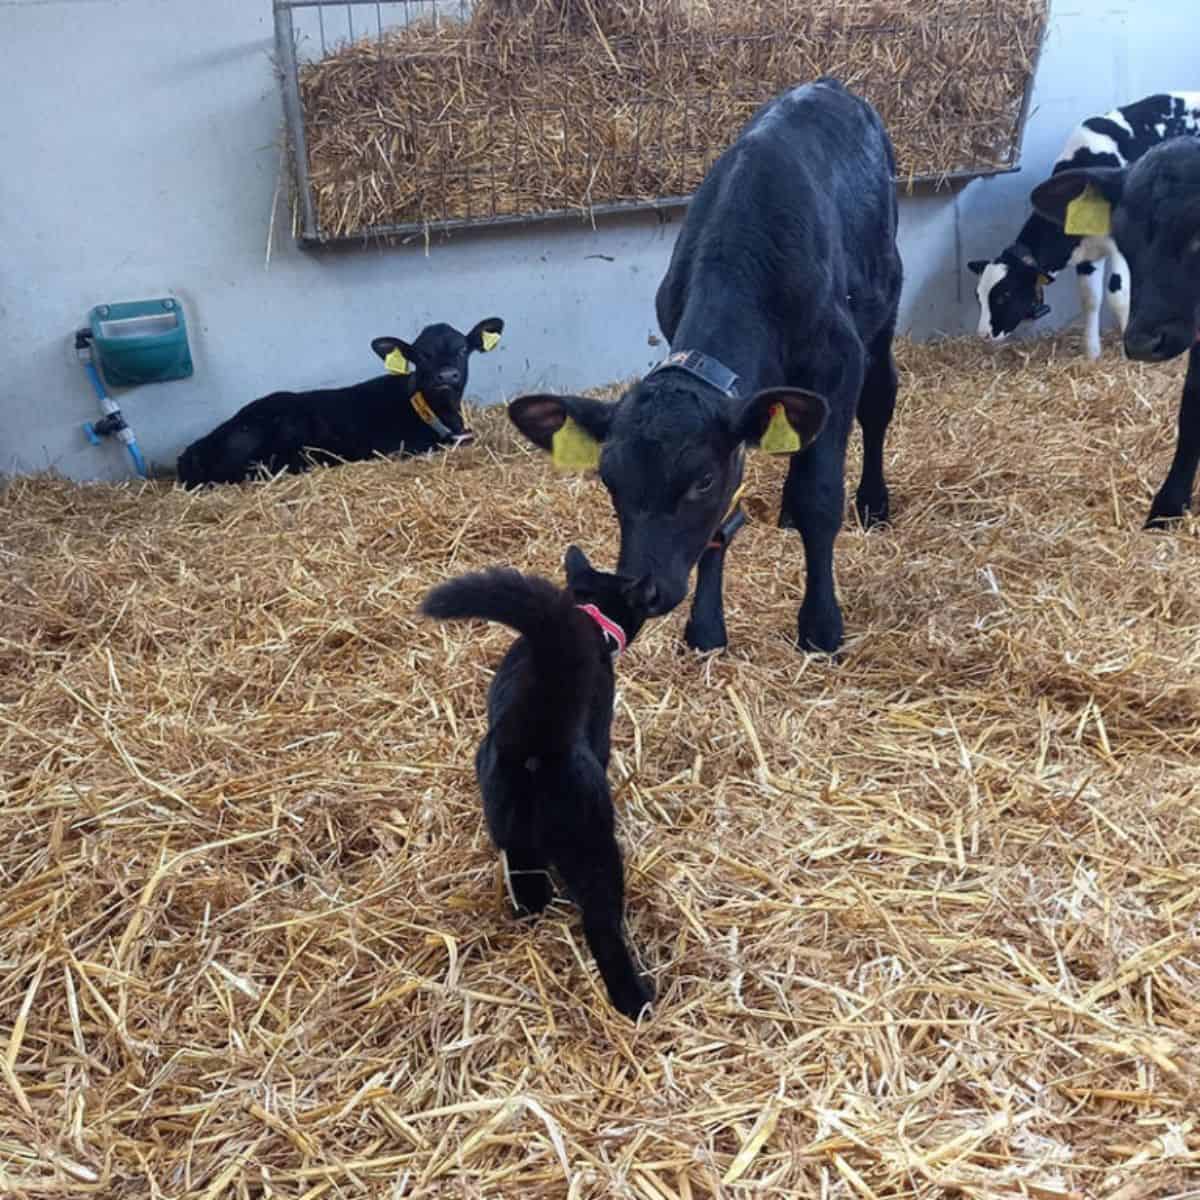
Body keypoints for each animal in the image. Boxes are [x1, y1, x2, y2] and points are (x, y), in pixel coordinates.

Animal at [420, 549, 657, 1017]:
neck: (587, 615)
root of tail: (534, 730)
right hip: (593, 846)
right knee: (603, 925)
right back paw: (636, 1000)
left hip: (513, 836)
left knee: (529, 892)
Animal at [504, 82, 902, 657]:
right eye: (609, 479)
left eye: (701, 480)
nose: (642, 591)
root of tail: (829, 85)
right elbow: (725, 521)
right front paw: (707, 628)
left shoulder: (838, 364)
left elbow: (821, 494)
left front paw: (821, 625)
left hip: (884, 309)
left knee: (878, 405)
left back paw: (873, 502)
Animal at [969, 93, 1195, 357]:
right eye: (978, 296)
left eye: (1004, 295)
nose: (983, 336)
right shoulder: (1087, 254)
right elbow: (1090, 298)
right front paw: (1092, 353)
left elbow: (1118, 295)